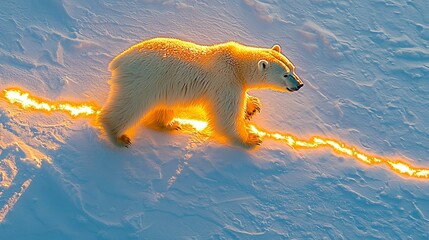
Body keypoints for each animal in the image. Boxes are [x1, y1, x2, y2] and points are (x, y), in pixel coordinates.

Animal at [98, 37, 302, 147]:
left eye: (293, 69)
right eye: (285, 74)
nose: (299, 85)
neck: (237, 65)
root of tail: (119, 61)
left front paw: (253, 106)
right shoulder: (225, 82)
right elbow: (226, 117)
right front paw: (251, 138)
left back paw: (170, 124)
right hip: (145, 82)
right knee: (129, 106)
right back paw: (119, 136)